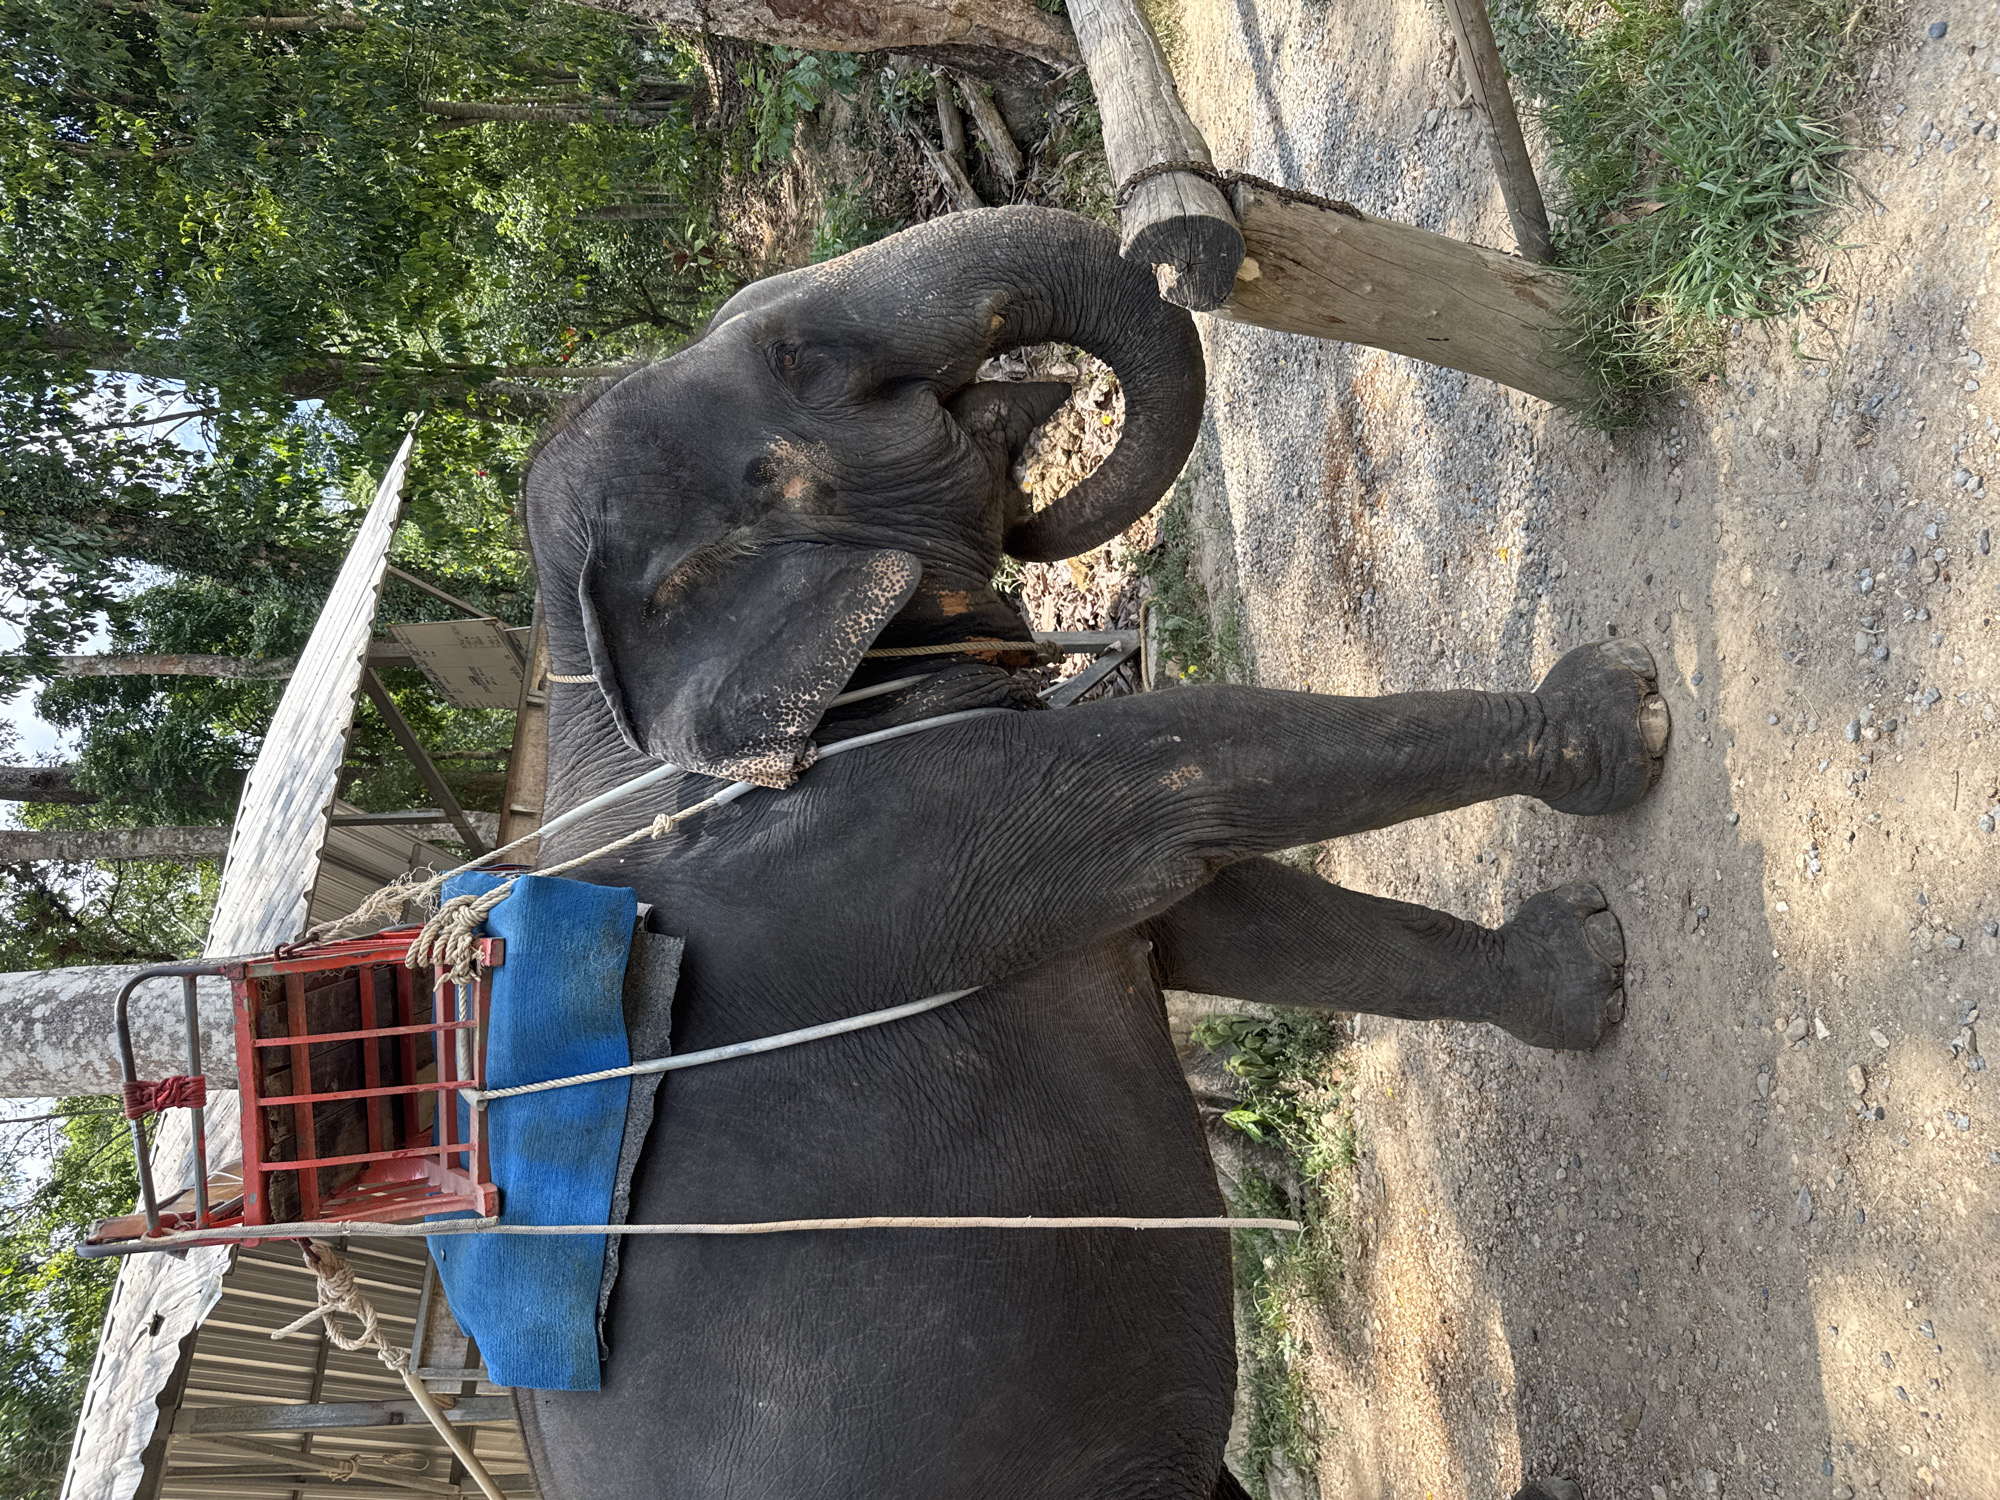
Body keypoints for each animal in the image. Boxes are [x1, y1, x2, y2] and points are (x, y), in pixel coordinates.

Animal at [513, 205, 1667, 1500]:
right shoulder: (891, 833)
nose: (1043, 495)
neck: (594, 683)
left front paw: (1580, 974)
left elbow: (1215, 919)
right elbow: (1190, 784)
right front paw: (1619, 709)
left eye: (775, 344)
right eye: (801, 364)